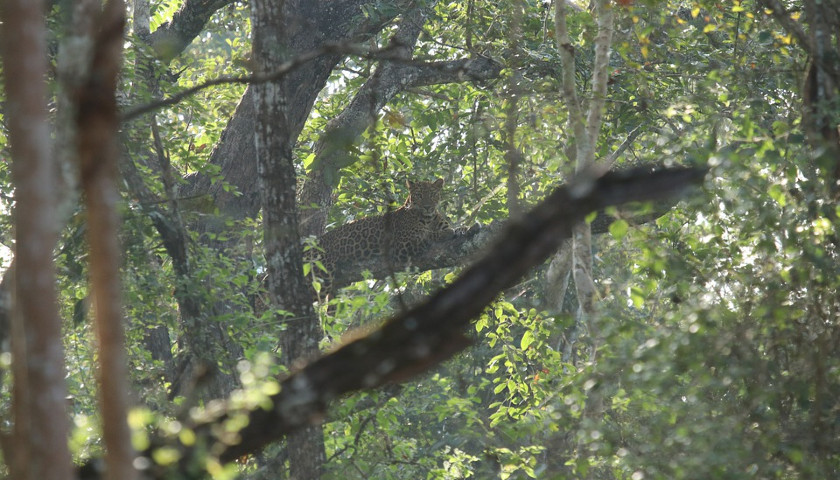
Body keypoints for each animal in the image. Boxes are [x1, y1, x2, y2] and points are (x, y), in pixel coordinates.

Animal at [314, 179, 456, 294]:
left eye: (432, 194)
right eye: (419, 195)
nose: (427, 207)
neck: (428, 219)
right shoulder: (402, 246)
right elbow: (427, 234)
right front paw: (445, 233)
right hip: (322, 273)